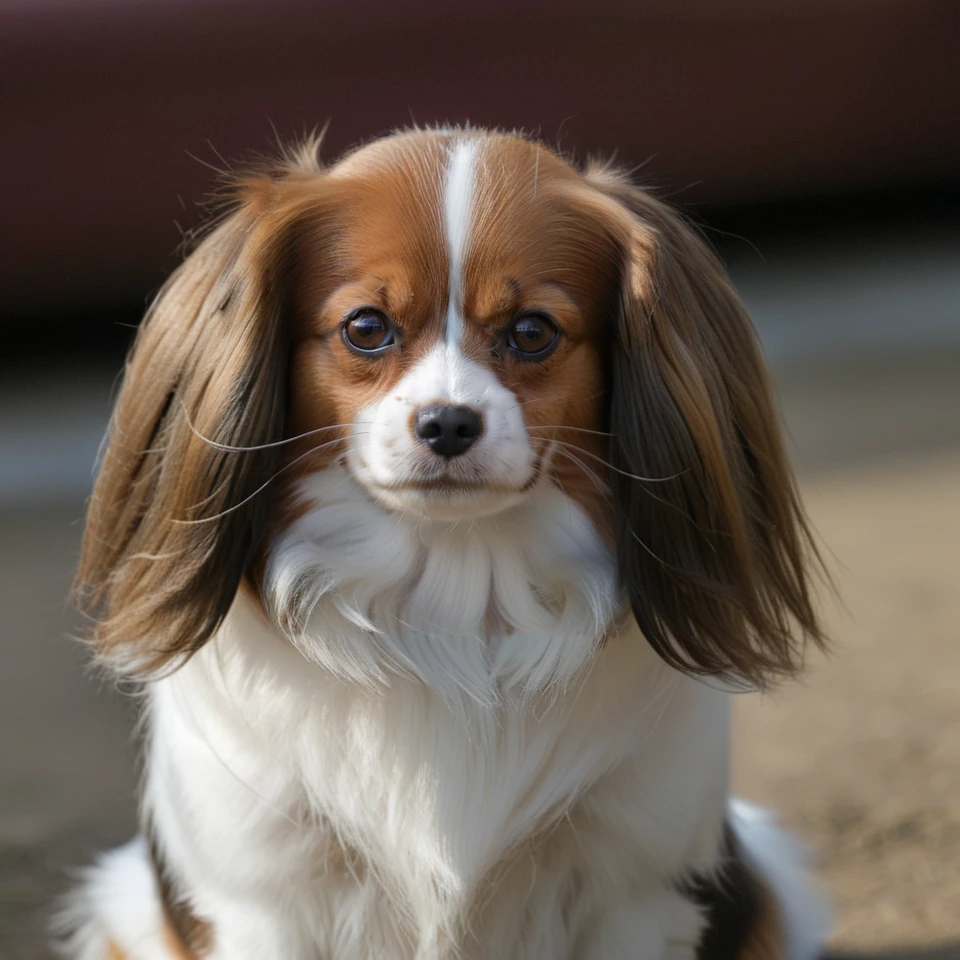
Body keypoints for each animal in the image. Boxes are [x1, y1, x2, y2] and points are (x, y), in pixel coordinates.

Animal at [60, 129, 828, 960]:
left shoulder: (633, 888)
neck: (454, 583)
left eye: (532, 332)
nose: (449, 423)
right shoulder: (265, 896)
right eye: (366, 328)